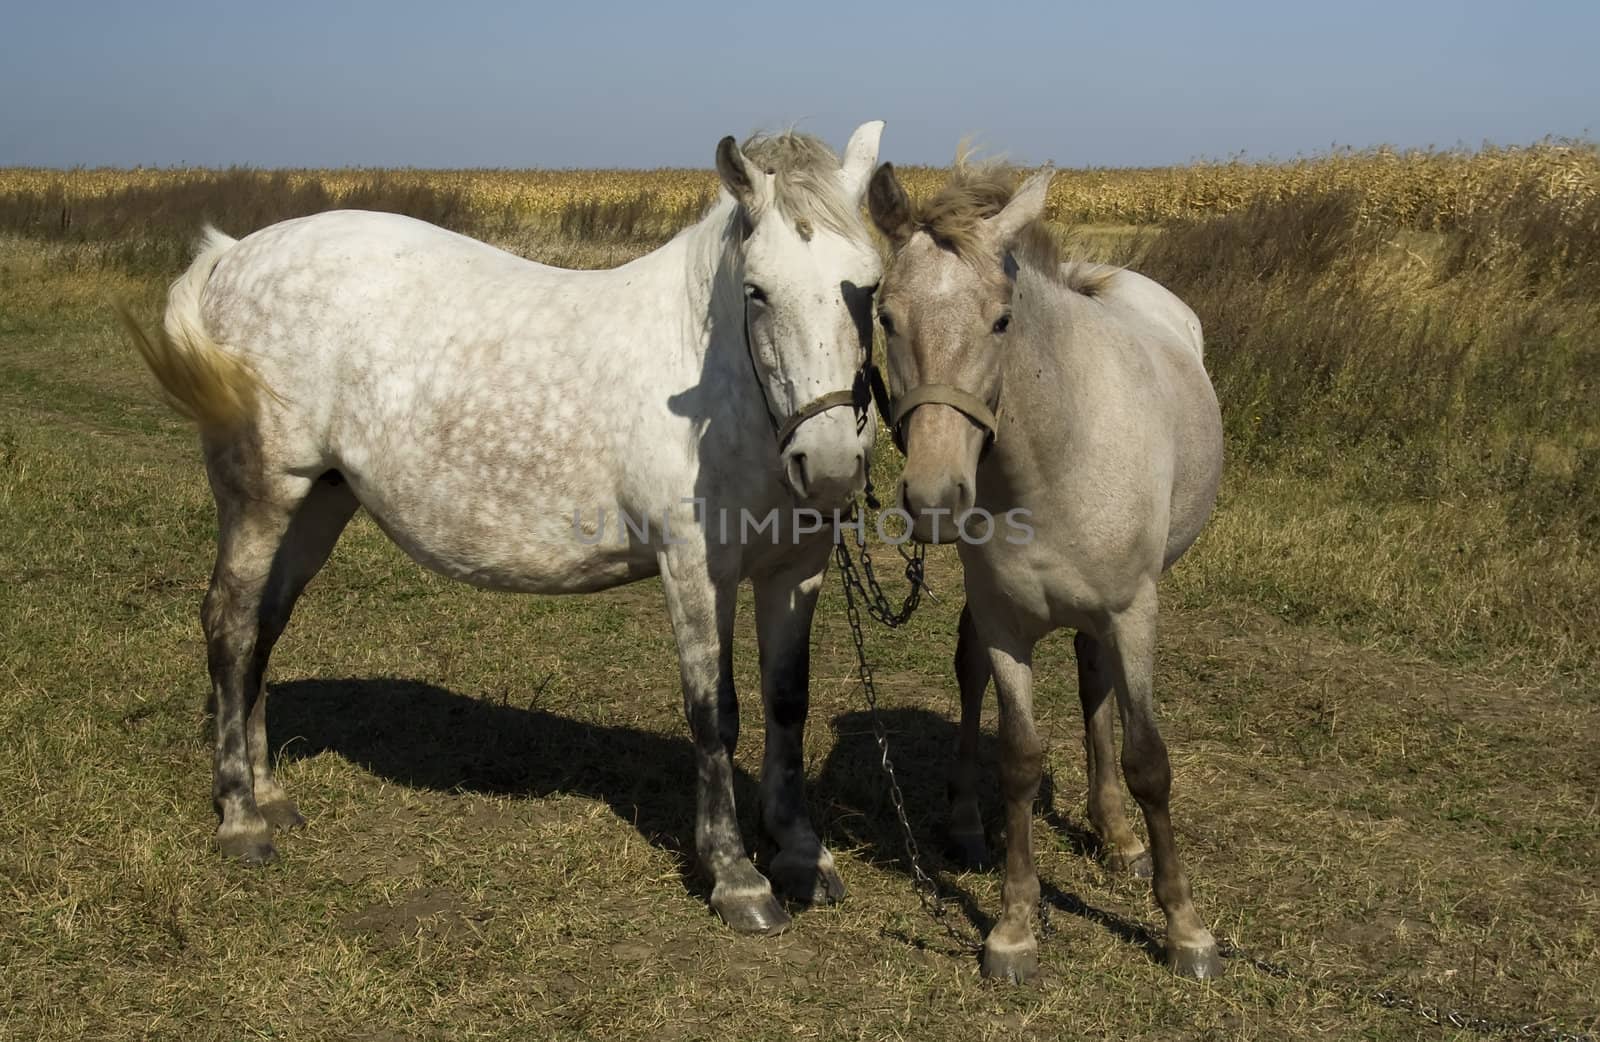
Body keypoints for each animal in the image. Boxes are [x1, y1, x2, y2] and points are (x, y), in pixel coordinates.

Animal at [123, 124, 889, 934]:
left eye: (868, 288)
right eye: (757, 292)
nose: (829, 464)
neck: (712, 378)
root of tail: (234, 254)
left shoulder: (796, 568)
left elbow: (788, 704)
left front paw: (801, 852)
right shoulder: (694, 569)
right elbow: (716, 713)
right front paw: (736, 875)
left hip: (318, 502)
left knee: (263, 629)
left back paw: (269, 793)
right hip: (262, 496)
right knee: (231, 626)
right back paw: (240, 816)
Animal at [870, 160, 1228, 979]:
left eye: (1002, 320)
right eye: (885, 317)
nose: (935, 496)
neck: (1057, 453)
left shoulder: (1133, 612)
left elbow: (1149, 759)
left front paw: (1185, 928)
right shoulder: (1006, 622)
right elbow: (1019, 759)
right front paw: (1014, 928)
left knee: (1097, 683)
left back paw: (1116, 832)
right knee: (972, 671)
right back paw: (967, 825)